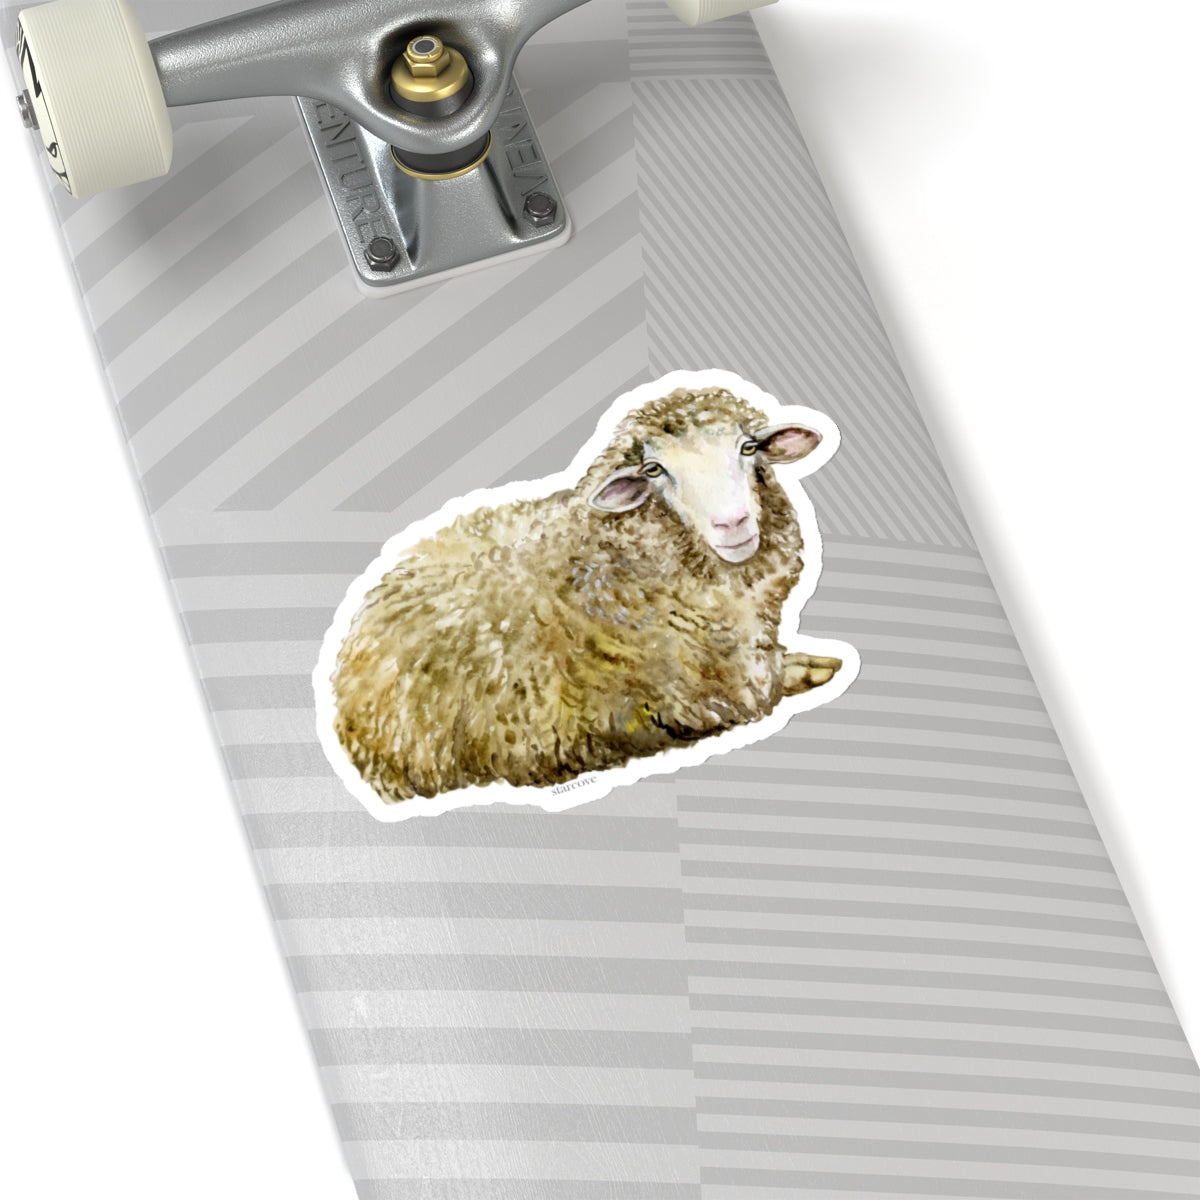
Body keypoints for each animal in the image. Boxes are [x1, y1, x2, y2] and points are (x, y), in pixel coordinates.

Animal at [326, 383, 852, 807]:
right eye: (654, 469)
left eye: (747, 447)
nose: (733, 524)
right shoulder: (706, 701)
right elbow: (773, 683)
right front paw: (818, 668)